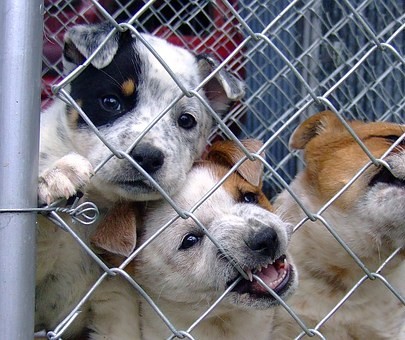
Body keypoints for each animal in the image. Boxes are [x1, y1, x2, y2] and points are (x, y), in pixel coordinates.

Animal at [35, 22, 243, 338]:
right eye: (110, 102)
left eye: (186, 120)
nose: (146, 157)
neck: (100, 205)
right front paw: (56, 174)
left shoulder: (115, 296)